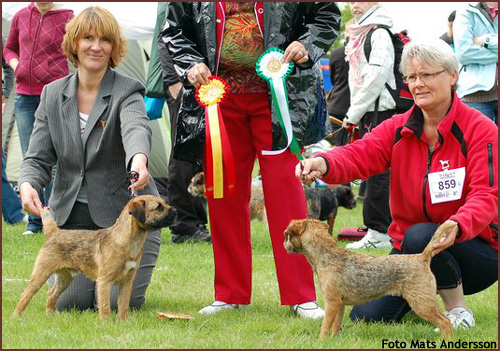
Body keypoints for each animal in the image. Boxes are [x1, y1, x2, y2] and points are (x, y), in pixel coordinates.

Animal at [13, 195, 177, 322]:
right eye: (158, 207)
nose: (175, 210)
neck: (128, 240)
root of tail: (55, 233)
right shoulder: (104, 281)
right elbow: (104, 306)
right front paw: (106, 324)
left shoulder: (127, 282)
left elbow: (123, 305)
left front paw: (123, 322)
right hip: (41, 273)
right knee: (25, 295)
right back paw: (16, 317)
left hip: (64, 278)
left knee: (51, 294)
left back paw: (50, 315)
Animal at [286, 220, 454, 340]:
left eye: (287, 235)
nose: (284, 244)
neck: (327, 256)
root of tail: (422, 257)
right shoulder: (339, 304)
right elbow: (335, 326)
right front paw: (333, 340)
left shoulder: (332, 303)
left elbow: (325, 325)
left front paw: (321, 341)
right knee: (445, 320)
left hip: (421, 302)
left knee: (445, 322)